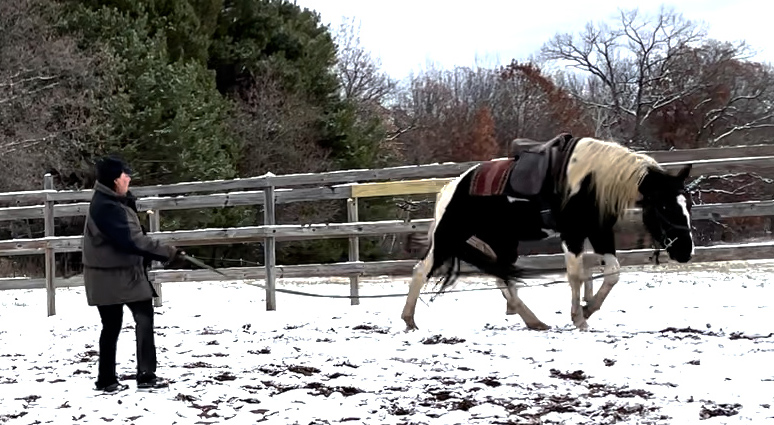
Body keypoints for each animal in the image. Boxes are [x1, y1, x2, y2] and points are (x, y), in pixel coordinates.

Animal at [401, 133, 694, 331]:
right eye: (665, 206)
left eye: (688, 204)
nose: (685, 251)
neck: (590, 181)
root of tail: (451, 188)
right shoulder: (573, 235)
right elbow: (576, 275)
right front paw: (579, 318)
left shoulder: (599, 233)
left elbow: (612, 273)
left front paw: (588, 309)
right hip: (450, 236)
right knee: (421, 270)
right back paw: (409, 319)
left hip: (502, 241)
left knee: (504, 278)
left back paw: (534, 321)